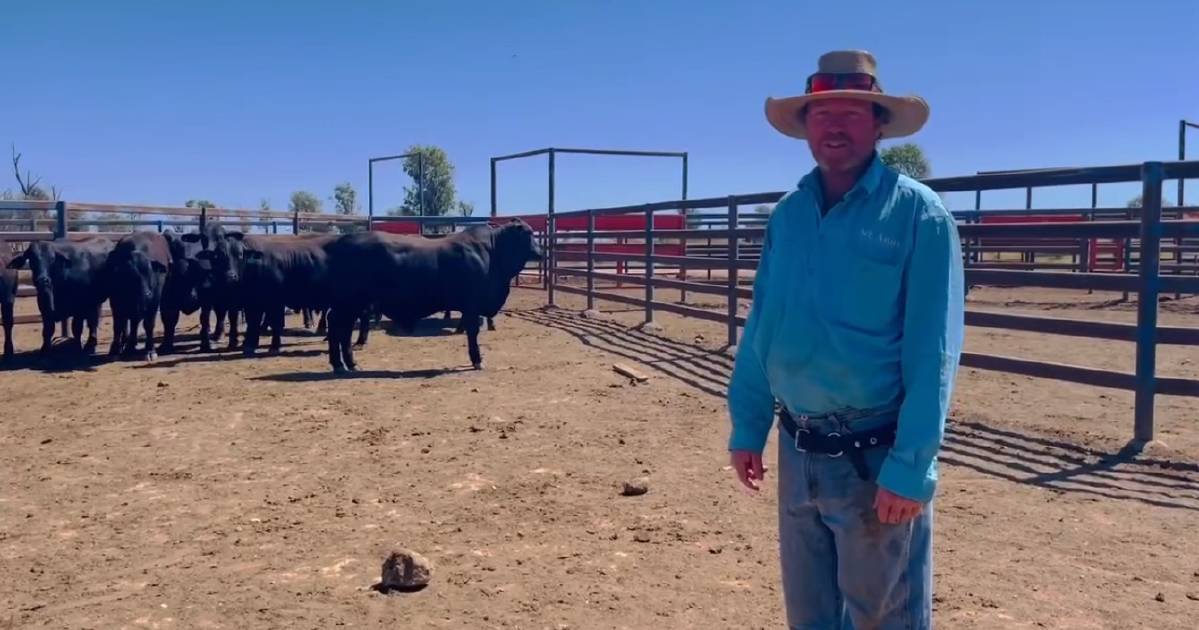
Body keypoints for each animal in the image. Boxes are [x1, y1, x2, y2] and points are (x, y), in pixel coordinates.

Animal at [321, 218, 541, 372]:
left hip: (351, 304)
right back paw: (341, 364)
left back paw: (348, 364)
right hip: (349, 302)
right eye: (529, 233)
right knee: (338, 327)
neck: (492, 251)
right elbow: (472, 332)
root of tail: (341, 242)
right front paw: (477, 360)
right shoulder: (472, 305)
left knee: (341, 329)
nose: (541, 253)